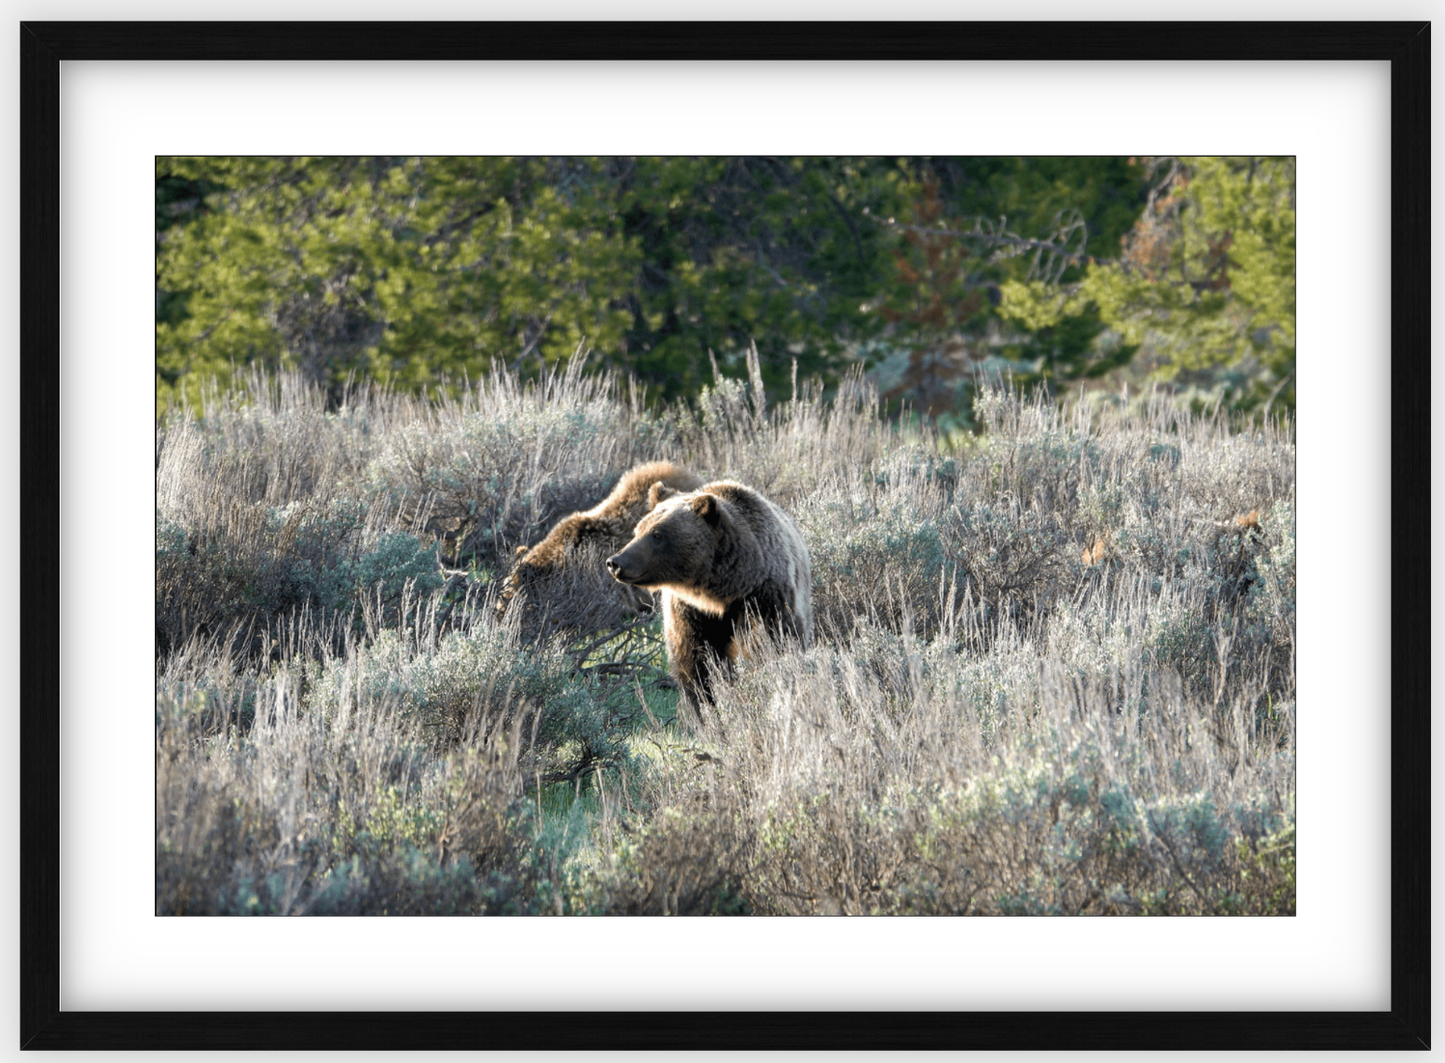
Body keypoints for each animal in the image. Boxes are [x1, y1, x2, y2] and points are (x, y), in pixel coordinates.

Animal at [606, 476, 814, 710]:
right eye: (638, 530)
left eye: (657, 534)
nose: (615, 562)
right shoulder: (688, 610)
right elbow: (695, 661)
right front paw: (706, 703)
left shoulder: (763, 596)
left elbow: (773, 640)